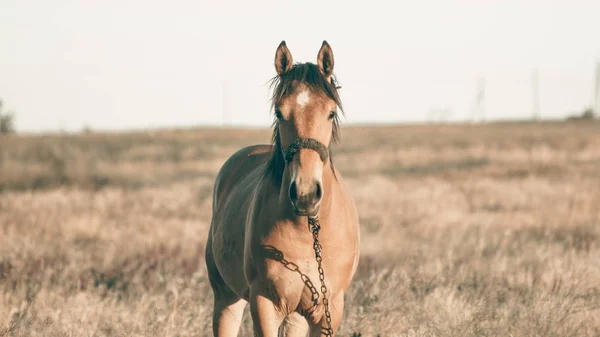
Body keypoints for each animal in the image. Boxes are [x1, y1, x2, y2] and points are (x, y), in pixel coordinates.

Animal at [204, 40, 358, 336]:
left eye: (331, 112)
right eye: (279, 112)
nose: (306, 194)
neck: (308, 232)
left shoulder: (329, 308)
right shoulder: (263, 303)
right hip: (226, 296)